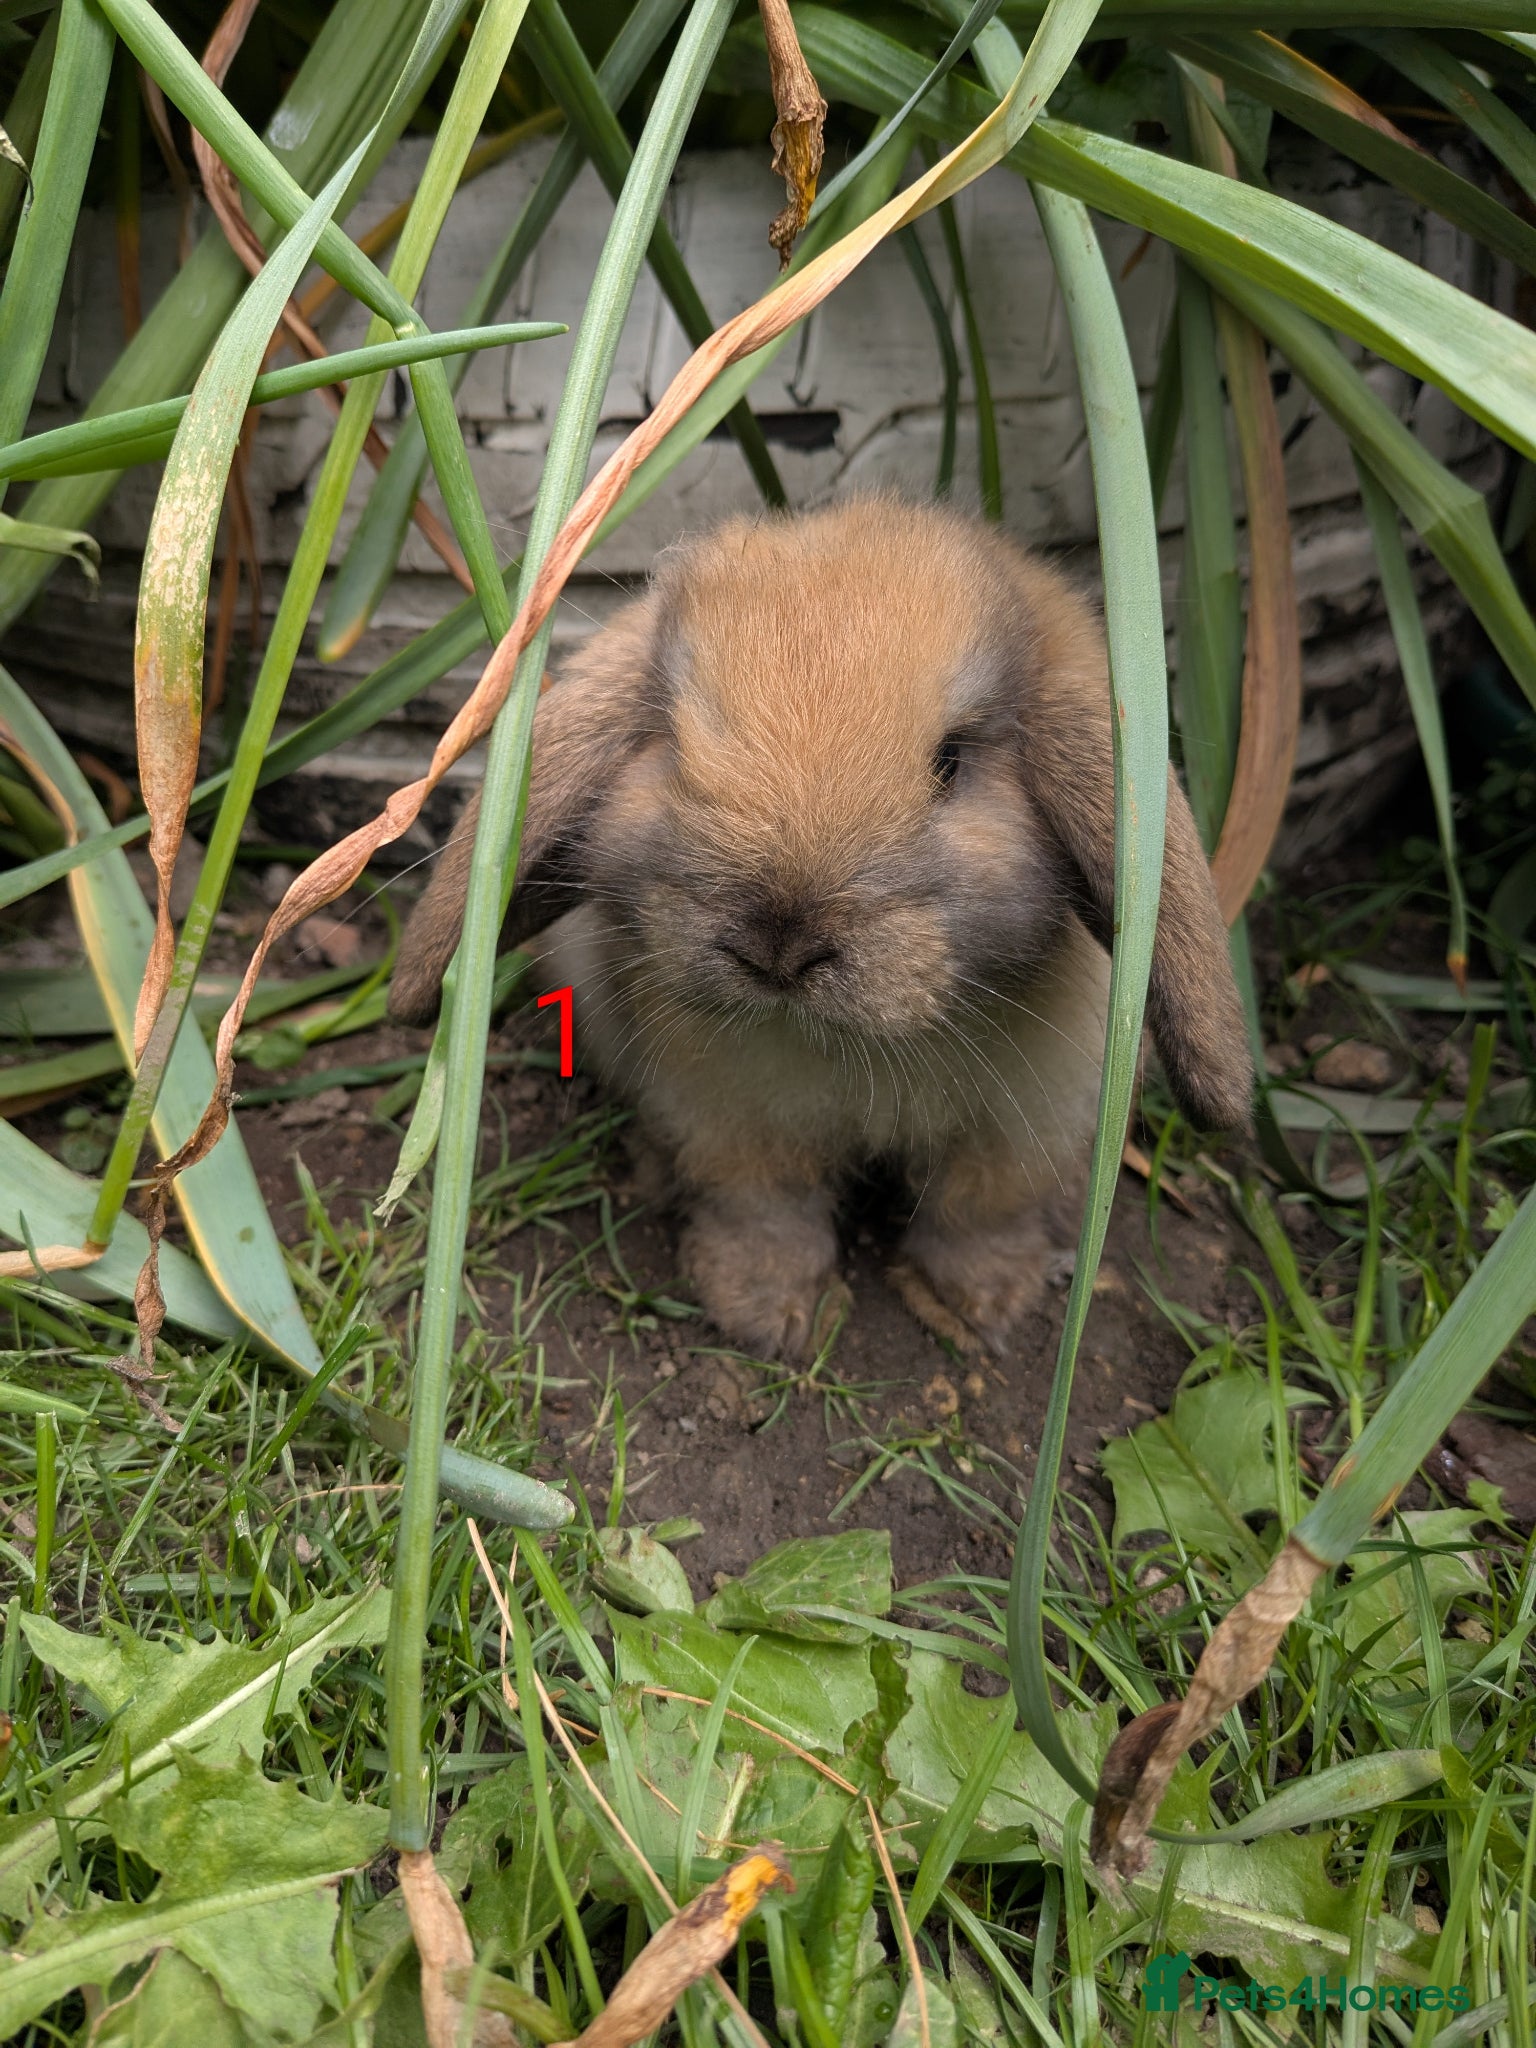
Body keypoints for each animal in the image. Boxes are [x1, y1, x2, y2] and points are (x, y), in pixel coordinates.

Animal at [389, 499, 1250, 1359]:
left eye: (952, 760)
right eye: (673, 744)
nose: (778, 945)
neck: (855, 1051)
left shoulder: (1027, 1125)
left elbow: (978, 1212)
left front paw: (980, 1306)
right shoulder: (731, 1124)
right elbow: (764, 1213)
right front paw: (767, 1315)